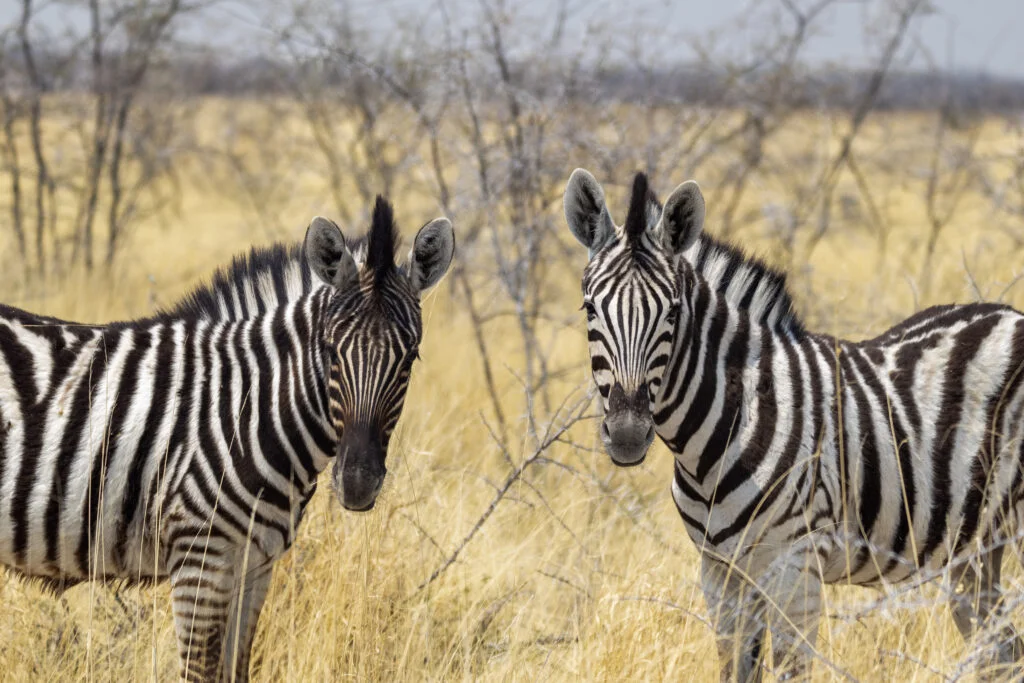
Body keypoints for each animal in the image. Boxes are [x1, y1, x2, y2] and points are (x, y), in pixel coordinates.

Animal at [0, 196, 454, 682]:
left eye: (410, 358)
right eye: (330, 352)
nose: (356, 484)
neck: (246, 408)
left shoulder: (256, 563)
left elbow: (237, 668)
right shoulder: (200, 560)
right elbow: (201, 672)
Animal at [563, 168, 1024, 681]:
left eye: (673, 311)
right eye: (589, 309)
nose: (627, 435)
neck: (716, 445)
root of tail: (1010, 314)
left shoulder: (795, 565)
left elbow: (789, 668)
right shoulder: (720, 572)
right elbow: (735, 668)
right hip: (973, 547)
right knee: (1002, 649)